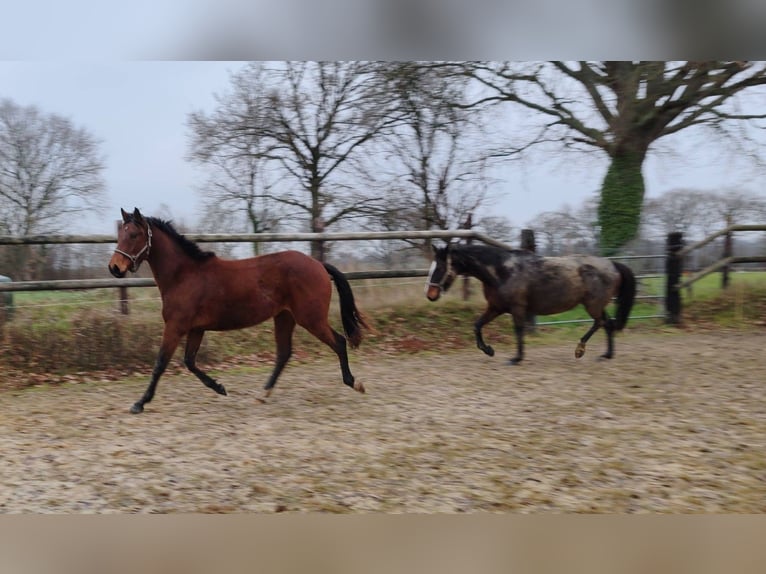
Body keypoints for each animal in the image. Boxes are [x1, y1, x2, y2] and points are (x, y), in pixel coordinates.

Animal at [109, 209, 370, 416]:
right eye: (120, 235)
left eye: (134, 235)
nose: (114, 268)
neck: (184, 276)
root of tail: (318, 264)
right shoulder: (196, 329)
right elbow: (190, 362)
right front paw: (220, 388)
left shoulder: (176, 326)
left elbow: (161, 364)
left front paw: (139, 403)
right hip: (285, 317)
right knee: (284, 353)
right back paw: (263, 394)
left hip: (311, 318)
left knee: (339, 342)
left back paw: (354, 383)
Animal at [426, 244, 636, 364]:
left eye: (441, 267)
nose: (430, 295)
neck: (502, 271)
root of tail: (613, 264)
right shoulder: (496, 308)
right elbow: (477, 325)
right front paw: (489, 350)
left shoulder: (517, 308)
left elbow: (519, 330)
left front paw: (516, 358)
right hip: (597, 305)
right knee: (607, 324)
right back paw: (606, 355)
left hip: (593, 305)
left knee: (601, 323)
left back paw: (581, 350)